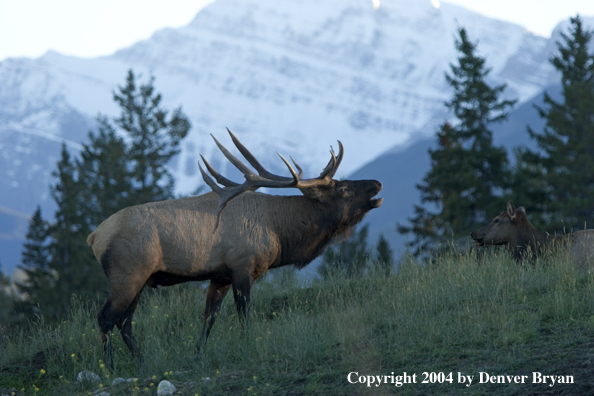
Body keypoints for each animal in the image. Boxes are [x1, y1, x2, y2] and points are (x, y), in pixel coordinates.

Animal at [88, 128, 384, 366]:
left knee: (124, 323)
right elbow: (245, 316)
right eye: (343, 189)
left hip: (140, 280)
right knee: (106, 318)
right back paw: (110, 368)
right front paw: (248, 347)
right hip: (128, 274)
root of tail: (94, 236)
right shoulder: (242, 267)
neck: (280, 233)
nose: (378, 183)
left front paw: (197, 356)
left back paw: (142, 362)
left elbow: (209, 319)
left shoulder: (220, 276)